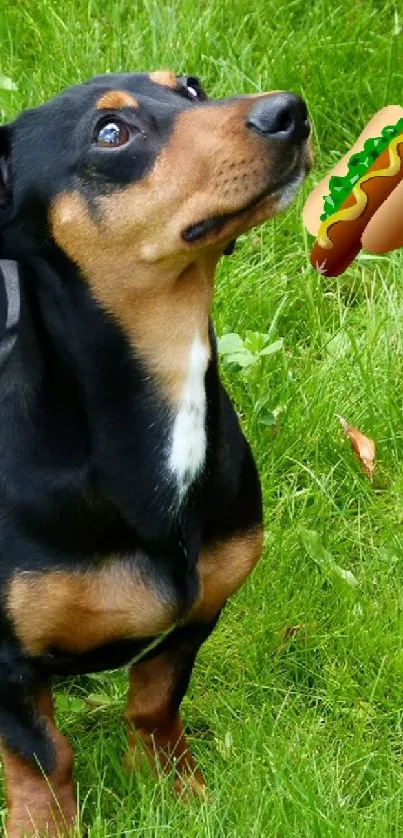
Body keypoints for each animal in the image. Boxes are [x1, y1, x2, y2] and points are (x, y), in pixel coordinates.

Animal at [0, 69, 310, 836]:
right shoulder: (7, 665)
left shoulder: (195, 618)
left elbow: (154, 705)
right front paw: (44, 826)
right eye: (111, 134)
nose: (289, 112)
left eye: (191, 87)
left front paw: (176, 789)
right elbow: (42, 759)